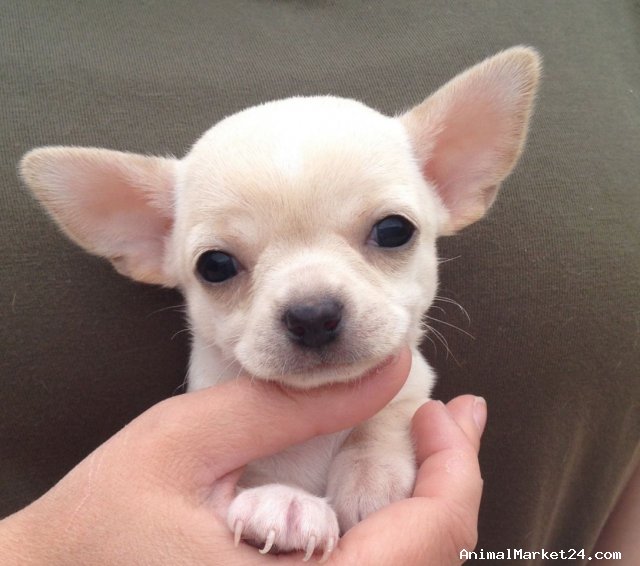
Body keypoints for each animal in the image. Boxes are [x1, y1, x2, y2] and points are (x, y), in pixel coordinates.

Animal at [20, 46, 540, 562]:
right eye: (215, 266)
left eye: (394, 231)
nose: (313, 314)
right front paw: (282, 500)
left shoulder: (411, 387)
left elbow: (386, 418)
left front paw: (372, 474)